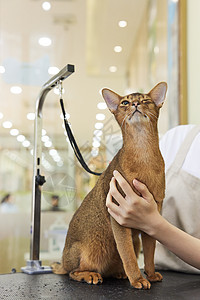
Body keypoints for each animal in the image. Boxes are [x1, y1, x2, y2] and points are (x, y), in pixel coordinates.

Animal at [51, 81, 167, 288]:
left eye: (145, 100)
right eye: (125, 102)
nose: (135, 104)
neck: (144, 155)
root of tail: (63, 260)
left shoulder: (154, 212)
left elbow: (150, 251)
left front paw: (151, 274)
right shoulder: (119, 216)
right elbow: (128, 255)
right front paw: (138, 279)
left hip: (134, 241)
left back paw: (118, 273)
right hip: (91, 248)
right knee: (72, 272)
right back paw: (90, 275)